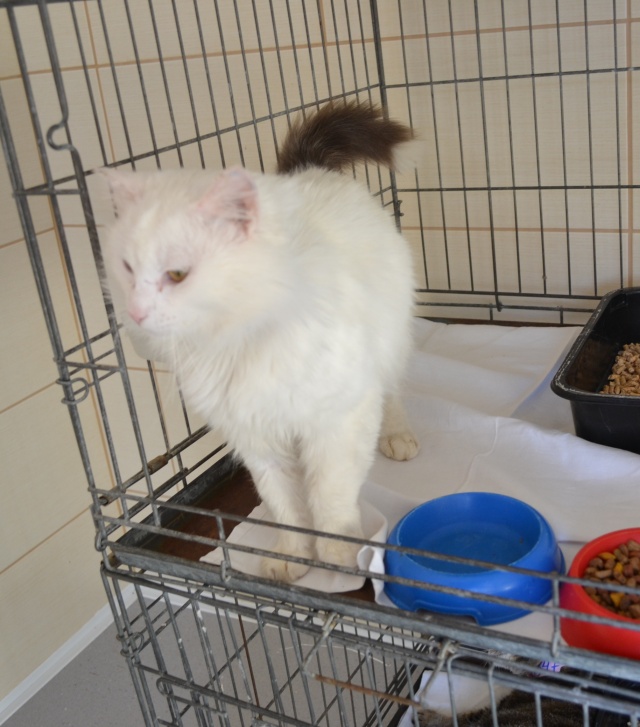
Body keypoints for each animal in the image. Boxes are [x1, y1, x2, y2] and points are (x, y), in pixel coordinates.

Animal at [99, 100, 419, 582]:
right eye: (127, 269)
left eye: (177, 273)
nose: (135, 313)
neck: (235, 347)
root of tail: (305, 172)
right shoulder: (255, 438)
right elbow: (284, 504)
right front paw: (293, 556)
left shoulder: (339, 423)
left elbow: (329, 495)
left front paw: (338, 554)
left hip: (391, 342)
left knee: (394, 391)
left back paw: (398, 437)